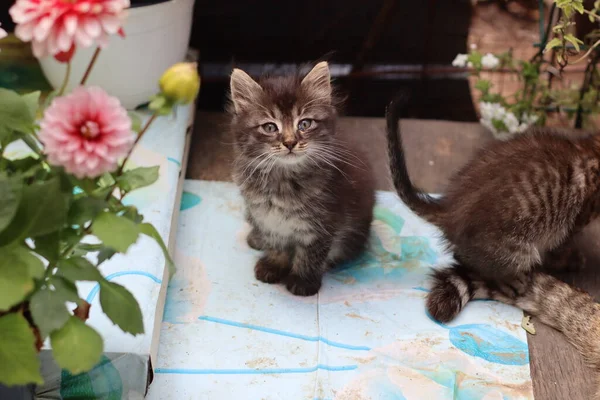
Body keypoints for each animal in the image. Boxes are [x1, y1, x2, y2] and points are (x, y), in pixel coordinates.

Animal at [230, 62, 376, 296]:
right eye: (270, 127)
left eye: (304, 124)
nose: (290, 142)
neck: (282, 180)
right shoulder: (268, 218)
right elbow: (276, 244)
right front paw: (274, 265)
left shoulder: (322, 224)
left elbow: (311, 255)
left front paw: (302, 281)